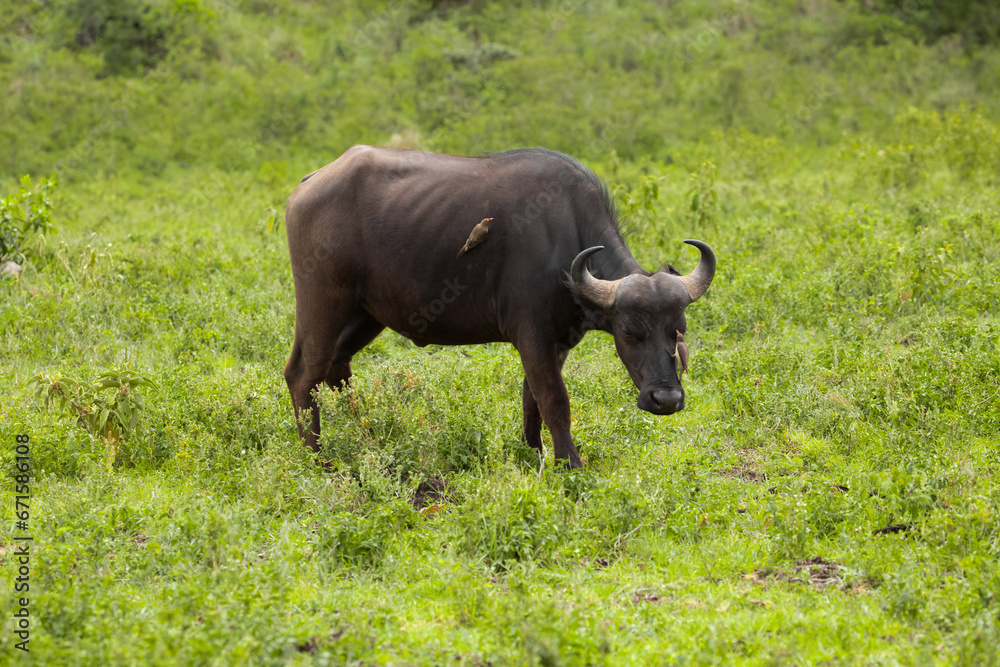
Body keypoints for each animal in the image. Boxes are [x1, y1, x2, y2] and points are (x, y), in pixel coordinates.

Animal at [286, 146, 716, 470]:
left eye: (678, 329)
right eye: (629, 331)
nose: (667, 400)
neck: (564, 240)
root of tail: (307, 185)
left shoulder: (557, 343)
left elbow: (532, 399)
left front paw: (534, 453)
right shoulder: (532, 336)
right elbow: (554, 399)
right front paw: (570, 464)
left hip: (367, 313)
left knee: (336, 366)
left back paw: (367, 431)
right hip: (322, 301)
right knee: (304, 374)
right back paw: (317, 458)